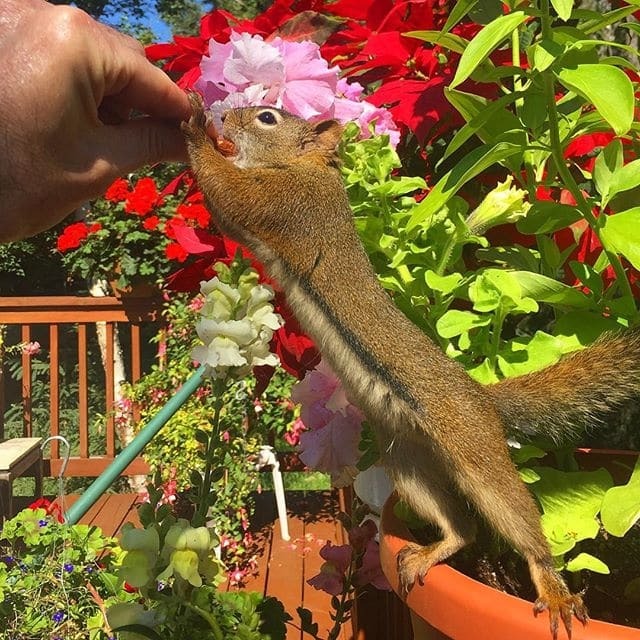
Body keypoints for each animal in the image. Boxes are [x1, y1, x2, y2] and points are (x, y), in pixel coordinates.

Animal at [179, 95, 640, 640]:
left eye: (268, 118)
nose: (226, 116)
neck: (305, 168)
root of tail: (482, 397)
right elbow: (228, 214)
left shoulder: (285, 203)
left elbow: (227, 192)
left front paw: (195, 127)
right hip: (410, 462)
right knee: (461, 527)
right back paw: (430, 554)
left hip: (477, 456)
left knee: (516, 521)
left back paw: (552, 589)